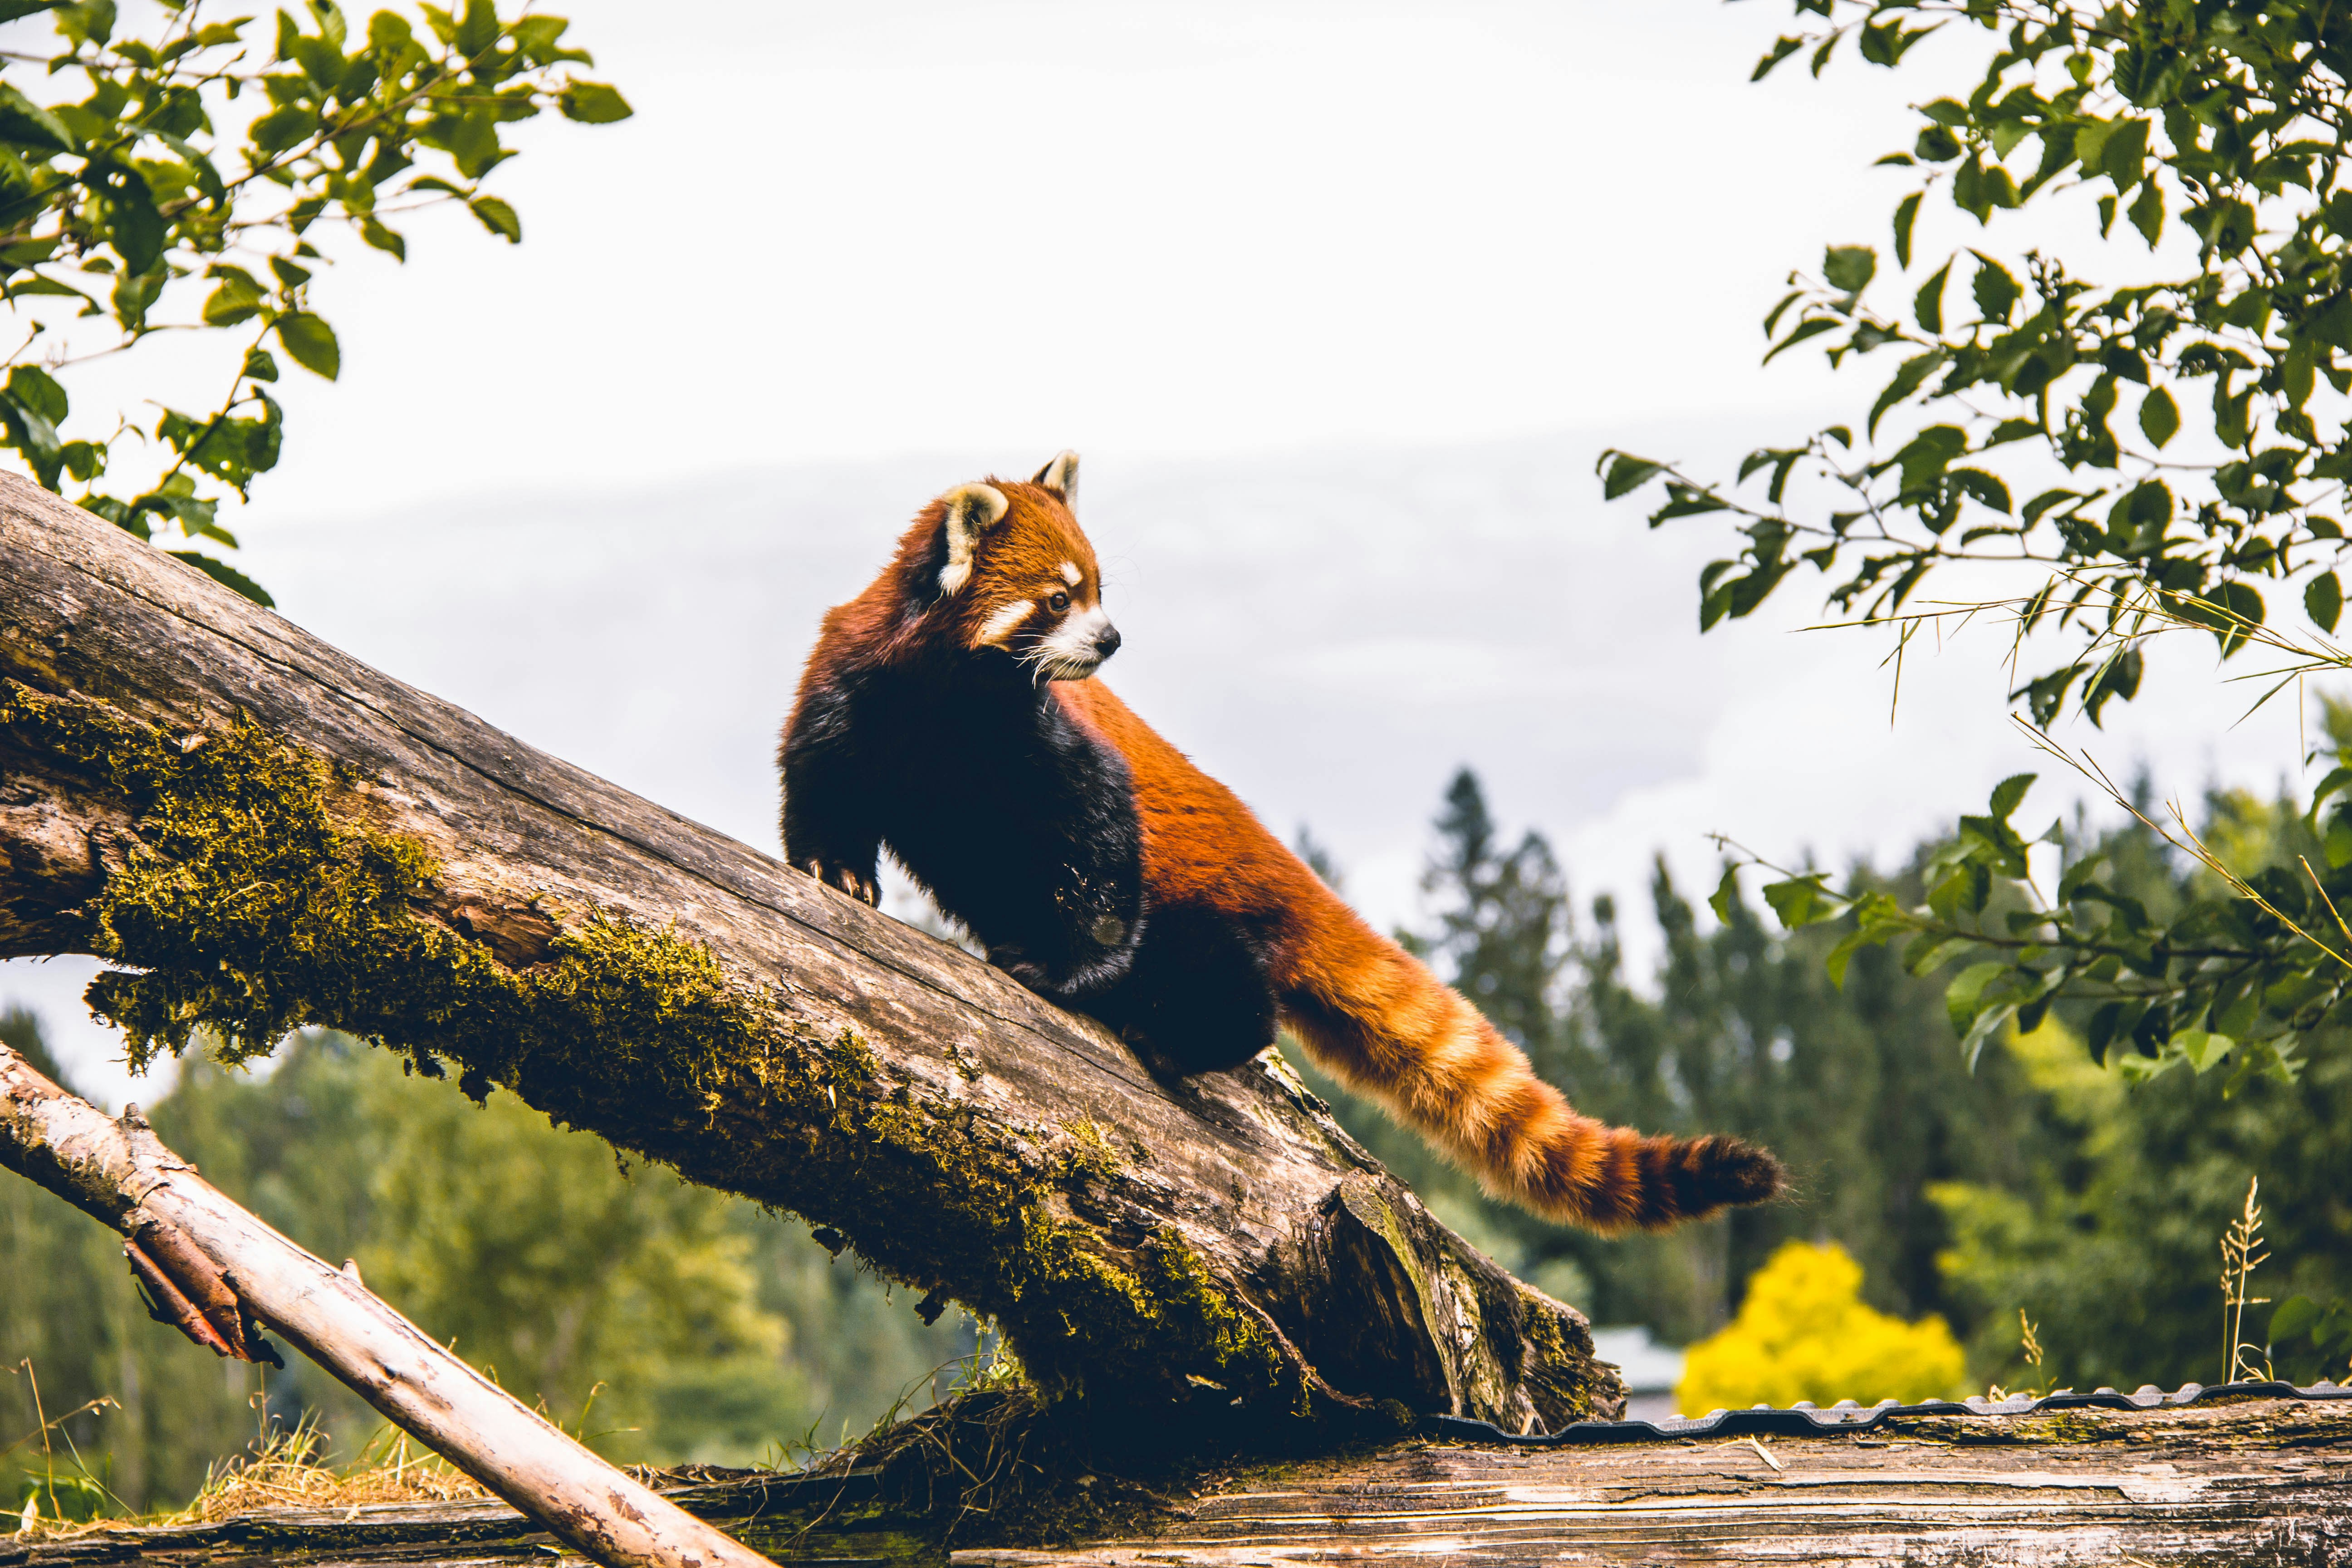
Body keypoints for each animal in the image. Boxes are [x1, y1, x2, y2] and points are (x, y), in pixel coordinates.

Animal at [776, 446, 1778, 1232]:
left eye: (1097, 590)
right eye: (1058, 600)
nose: (1113, 639)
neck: (947, 700)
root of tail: (1286, 871)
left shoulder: (1047, 743)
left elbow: (1098, 840)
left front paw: (1065, 970)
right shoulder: (854, 689)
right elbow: (824, 782)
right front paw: (836, 871)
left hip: (1207, 902)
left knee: (1224, 983)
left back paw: (1173, 1029)